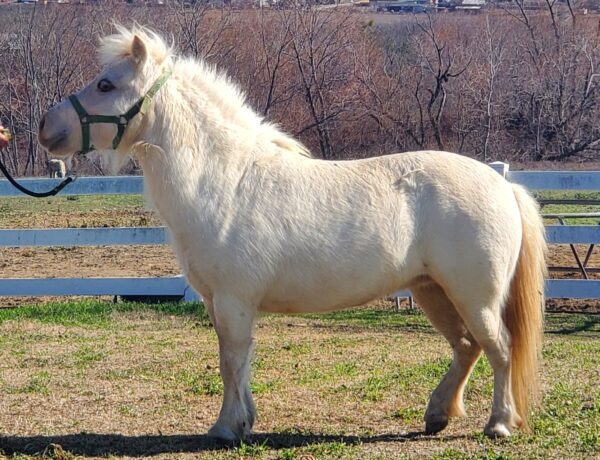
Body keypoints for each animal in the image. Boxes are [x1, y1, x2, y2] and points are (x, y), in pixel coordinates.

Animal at [35, 26, 548, 442]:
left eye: (106, 84)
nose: (46, 127)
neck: (224, 180)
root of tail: (502, 184)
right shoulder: (219, 301)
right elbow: (236, 362)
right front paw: (244, 422)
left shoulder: (233, 300)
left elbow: (230, 361)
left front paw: (226, 428)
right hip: (431, 290)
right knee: (467, 347)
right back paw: (437, 415)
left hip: (475, 295)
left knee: (498, 348)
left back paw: (499, 424)